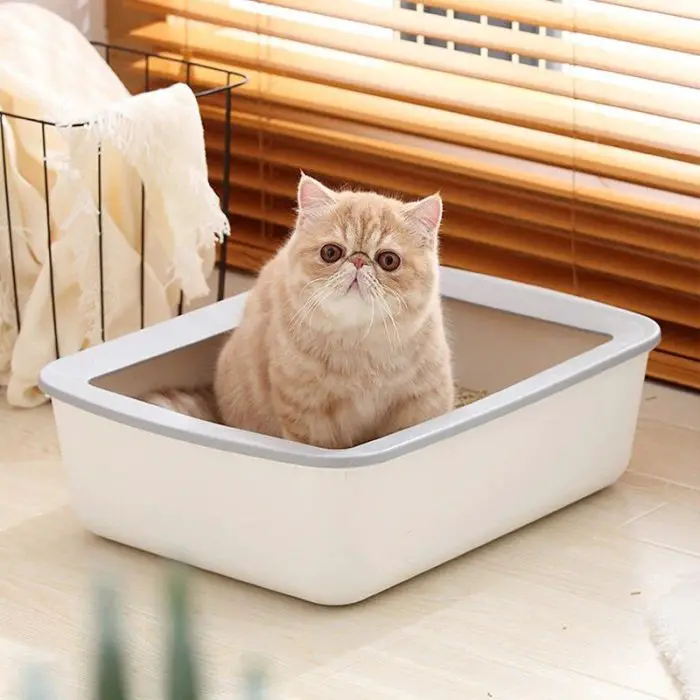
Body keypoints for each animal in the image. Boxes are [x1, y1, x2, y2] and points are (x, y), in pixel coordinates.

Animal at [145, 174, 456, 448]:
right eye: (331, 253)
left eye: (388, 260)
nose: (358, 262)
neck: (358, 345)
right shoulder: (308, 417)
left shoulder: (422, 402)